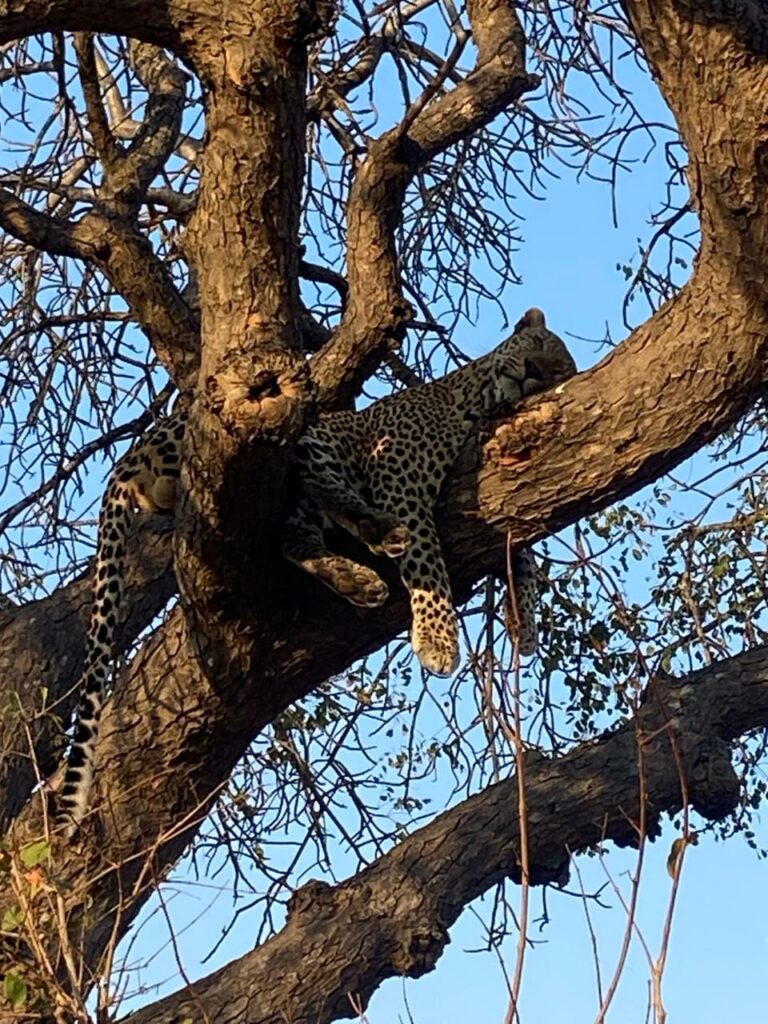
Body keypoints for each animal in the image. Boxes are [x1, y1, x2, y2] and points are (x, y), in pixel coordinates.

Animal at [282, 307, 576, 676]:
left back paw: (354, 579)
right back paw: (380, 529)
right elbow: (425, 556)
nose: (533, 369)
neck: (479, 398)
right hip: (319, 435)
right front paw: (438, 638)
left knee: (292, 538)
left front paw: (523, 621)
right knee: (318, 481)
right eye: (536, 342)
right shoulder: (399, 474)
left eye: (556, 373)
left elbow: (523, 555)